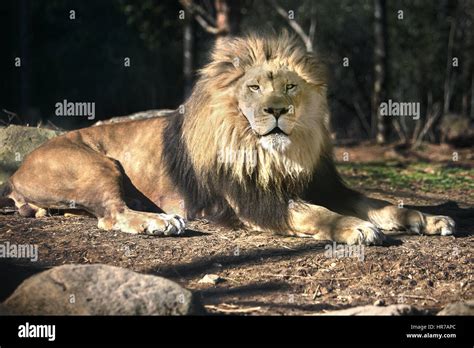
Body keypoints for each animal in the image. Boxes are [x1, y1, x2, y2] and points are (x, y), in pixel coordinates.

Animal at [3, 33, 456, 245]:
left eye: (291, 87)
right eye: (254, 88)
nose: (277, 111)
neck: (278, 154)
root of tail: (19, 169)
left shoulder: (324, 184)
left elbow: (379, 203)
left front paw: (426, 218)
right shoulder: (255, 202)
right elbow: (315, 213)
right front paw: (354, 227)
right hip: (98, 164)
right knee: (110, 215)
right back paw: (160, 221)